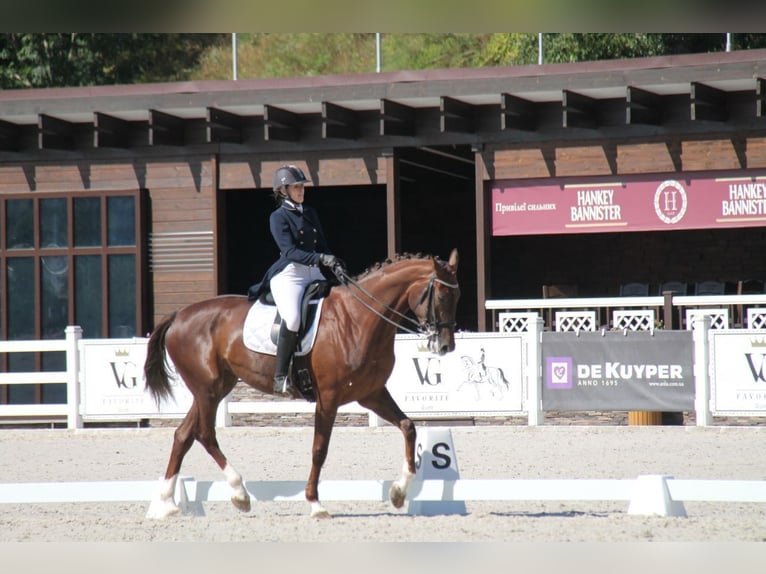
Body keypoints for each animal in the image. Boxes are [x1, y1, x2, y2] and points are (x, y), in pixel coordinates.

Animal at [142, 250, 462, 520]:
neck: (360, 318)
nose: (446, 346)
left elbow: (409, 427)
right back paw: (239, 493)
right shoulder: (329, 398)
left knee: (184, 435)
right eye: (442, 295)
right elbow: (319, 449)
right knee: (205, 434)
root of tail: (179, 314)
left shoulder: (371, 394)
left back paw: (168, 503)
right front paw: (316, 504)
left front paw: (398, 492)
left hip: (215, 388)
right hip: (207, 389)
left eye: (456, 295)